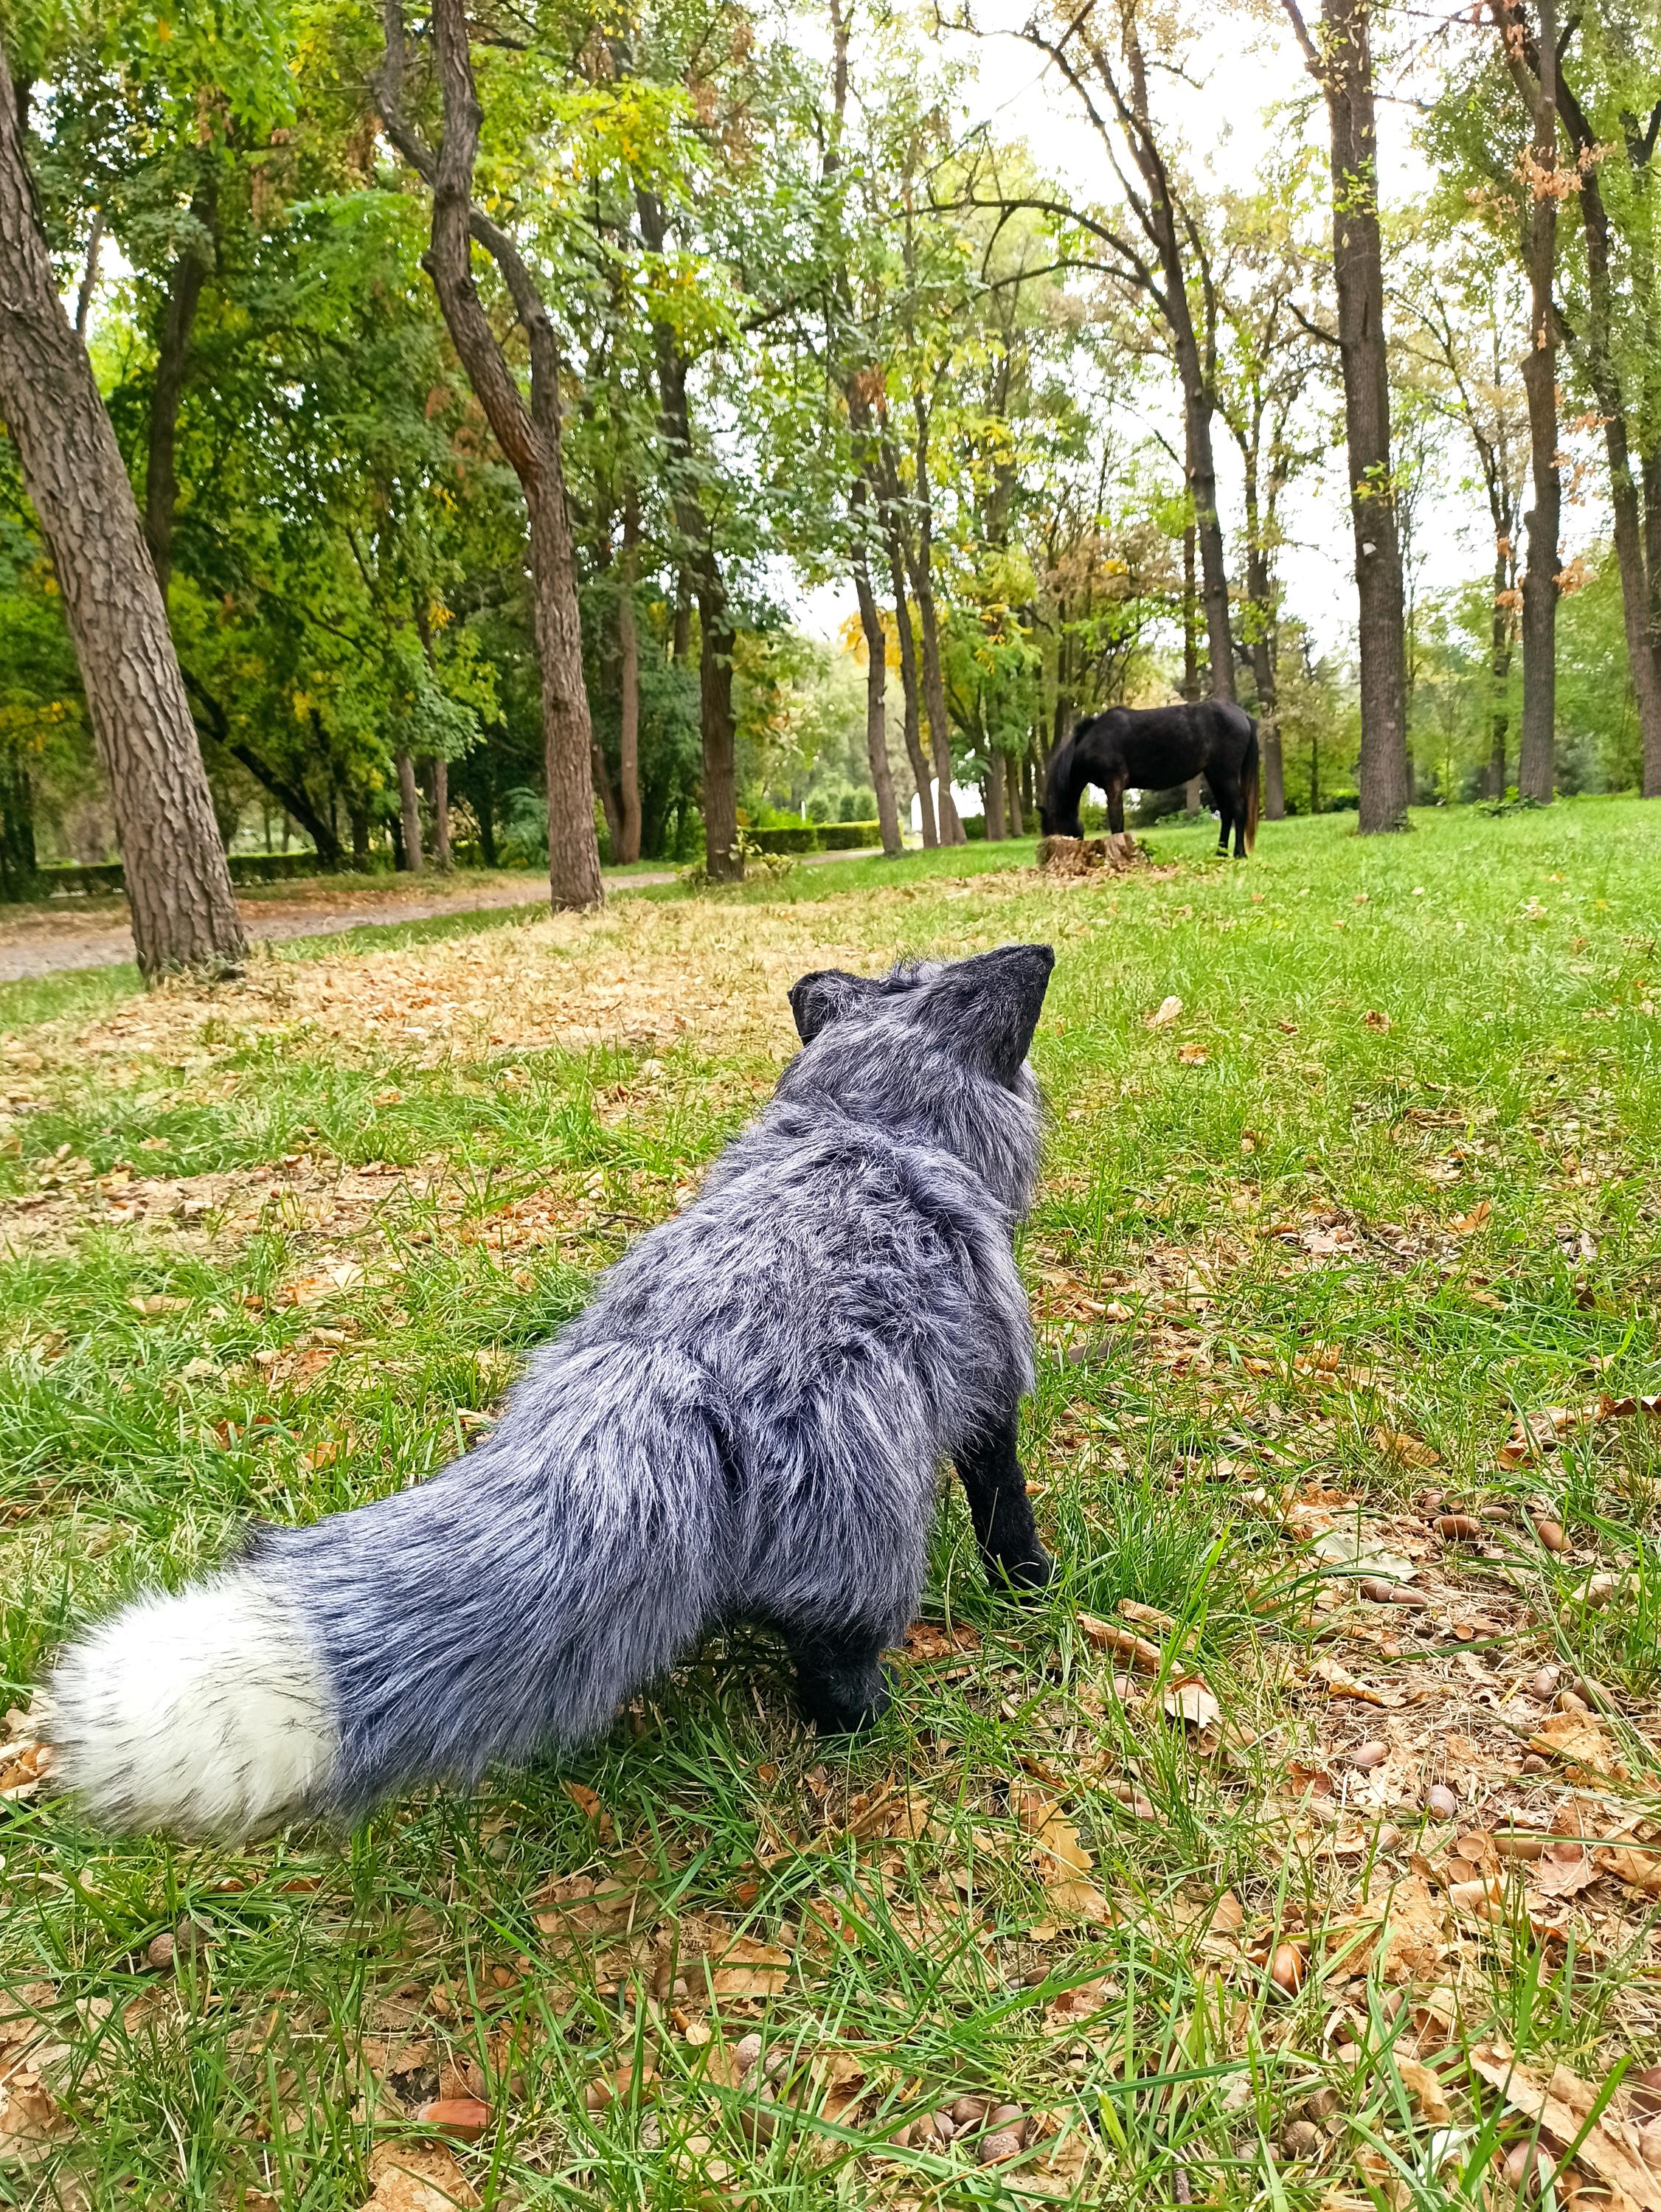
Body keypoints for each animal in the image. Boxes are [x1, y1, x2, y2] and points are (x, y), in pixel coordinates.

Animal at [47, 942, 1057, 1839]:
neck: (873, 1130)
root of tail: (668, 1362)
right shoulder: (989, 1391)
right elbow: (1004, 1506)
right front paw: (1033, 1587)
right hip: (866, 1558)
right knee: (832, 1674)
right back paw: (873, 1735)